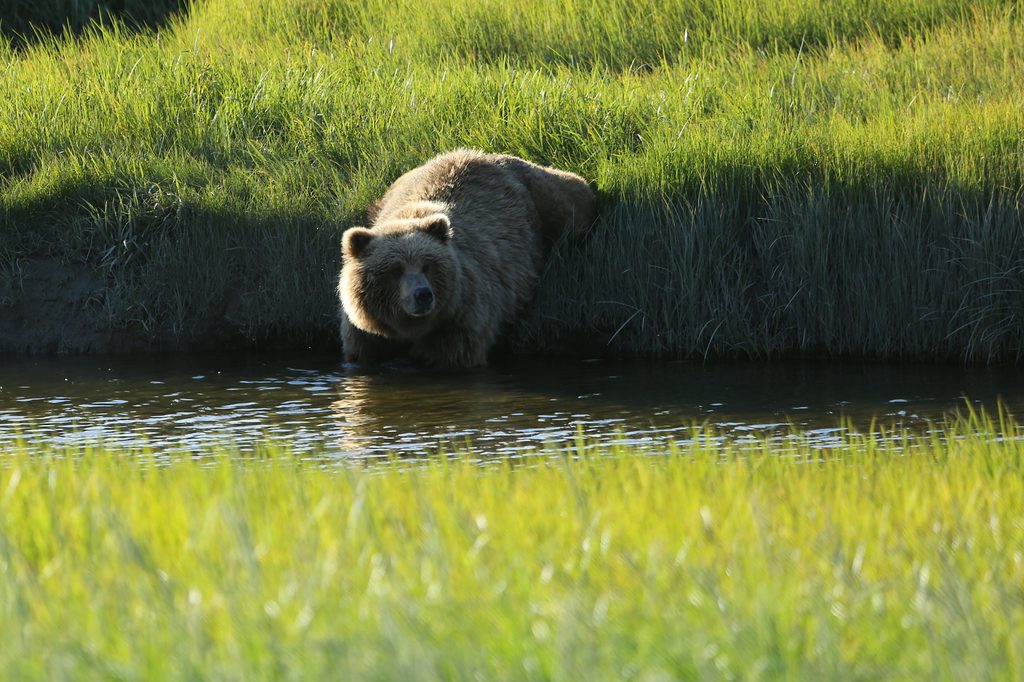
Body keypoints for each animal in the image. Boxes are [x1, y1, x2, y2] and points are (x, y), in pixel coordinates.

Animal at [337, 149, 595, 368]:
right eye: (395, 269)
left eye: (427, 265)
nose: (423, 295)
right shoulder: (365, 334)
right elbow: (363, 354)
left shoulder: (460, 318)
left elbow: (454, 356)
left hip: (547, 198)